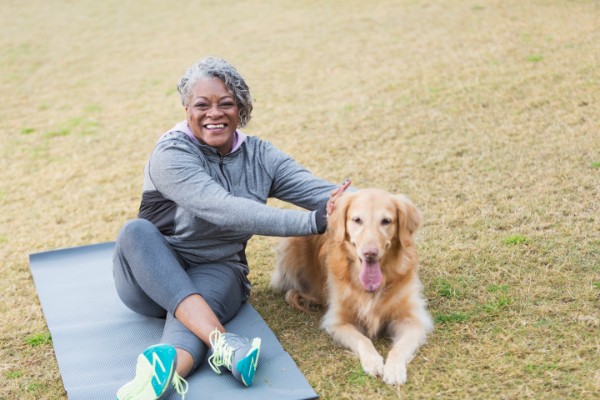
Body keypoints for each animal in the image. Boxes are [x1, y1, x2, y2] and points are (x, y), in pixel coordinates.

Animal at [270, 189, 432, 386]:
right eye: (357, 220)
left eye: (386, 221)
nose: (370, 253)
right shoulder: (339, 322)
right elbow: (363, 340)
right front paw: (373, 361)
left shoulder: (412, 320)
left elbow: (398, 348)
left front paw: (394, 369)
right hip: (289, 244)